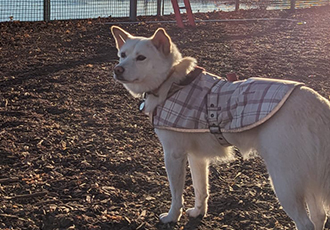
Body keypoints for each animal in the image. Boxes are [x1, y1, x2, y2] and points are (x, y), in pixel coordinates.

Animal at [111, 26, 330, 229]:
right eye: (122, 55)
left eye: (141, 58)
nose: (117, 69)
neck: (172, 82)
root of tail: (318, 104)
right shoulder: (197, 157)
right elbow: (201, 190)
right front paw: (198, 212)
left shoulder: (173, 155)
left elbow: (176, 194)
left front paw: (172, 217)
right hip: (309, 178)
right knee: (319, 216)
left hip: (285, 182)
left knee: (306, 223)